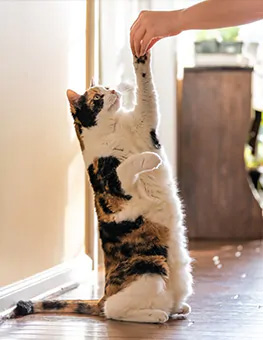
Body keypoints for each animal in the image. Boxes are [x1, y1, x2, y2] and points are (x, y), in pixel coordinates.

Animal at [12, 53, 194, 324]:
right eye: (97, 97)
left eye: (107, 87)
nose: (113, 91)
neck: (115, 128)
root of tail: (104, 293)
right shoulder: (112, 188)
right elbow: (126, 166)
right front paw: (150, 159)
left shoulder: (144, 120)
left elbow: (146, 91)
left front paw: (140, 57)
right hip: (150, 266)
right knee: (114, 310)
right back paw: (155, 315)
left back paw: (178, 310)